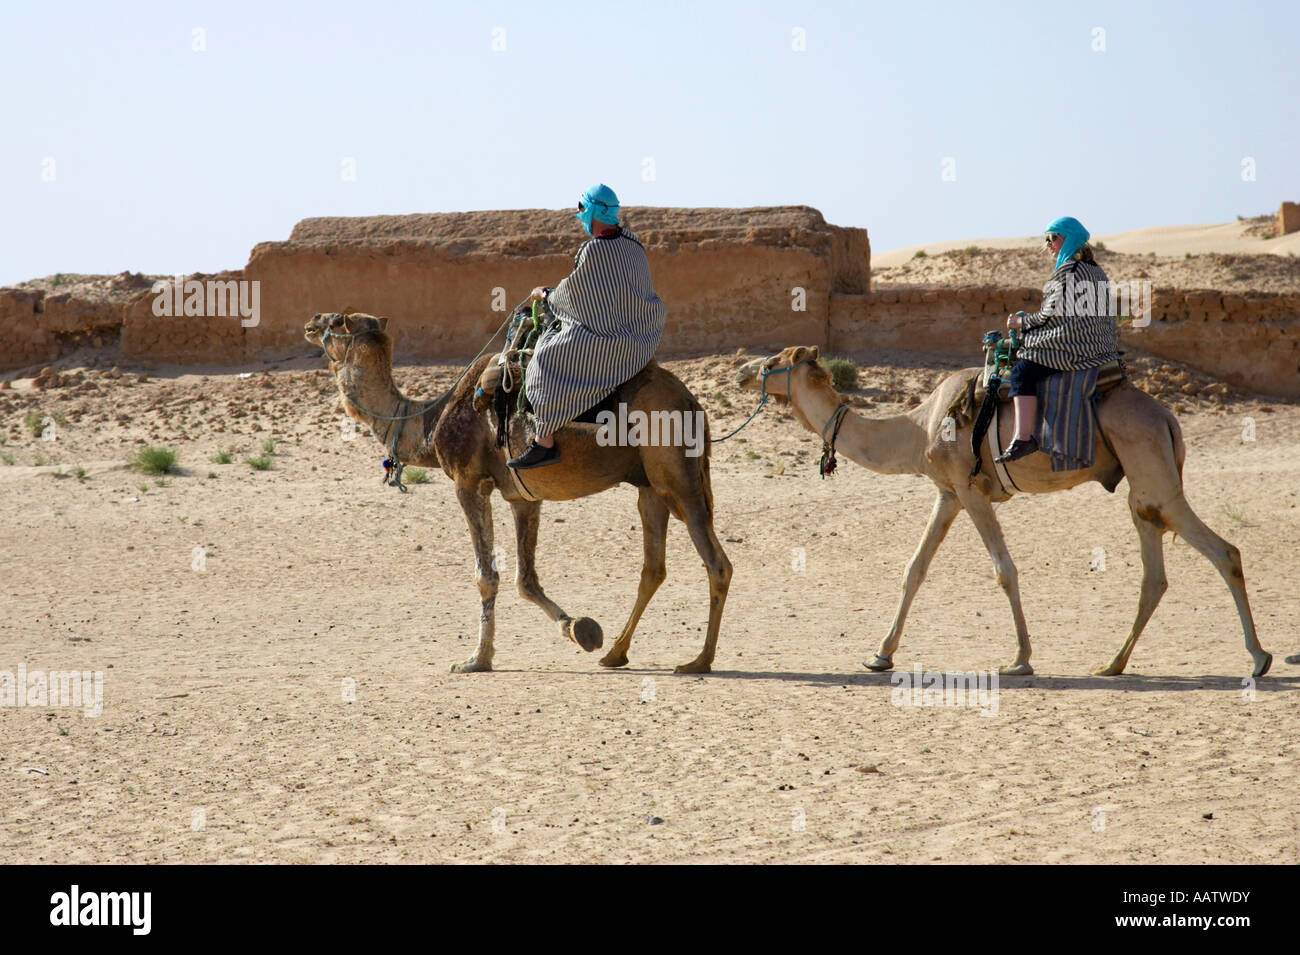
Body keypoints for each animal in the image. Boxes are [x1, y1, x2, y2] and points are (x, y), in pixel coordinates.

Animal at [304, 311, 733, 670]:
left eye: (339, 320)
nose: (311, 322)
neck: (428, 422)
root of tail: (692, 403)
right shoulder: (521, 495)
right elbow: (525, 579)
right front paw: (580, 629)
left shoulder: (468, 482)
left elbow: (486, 575)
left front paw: (476, 659)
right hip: (651, 487)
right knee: (653, 567)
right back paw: (615, 653)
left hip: (676, 474)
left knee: (716, 563)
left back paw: (699, 661)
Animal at [738, 348, 1274, 686]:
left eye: (770, 363)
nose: (741, 373)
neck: (918, 428)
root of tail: (1168, 418)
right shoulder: (947, 494)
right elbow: (914, 569)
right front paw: (879, 654)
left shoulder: (971, 490)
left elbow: (1004, 571)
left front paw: (1020, 660)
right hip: (1143, 489)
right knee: (1155, 575)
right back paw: (1111, 665)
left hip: (1154, 477)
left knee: (1224, 551)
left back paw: (1259, 658)